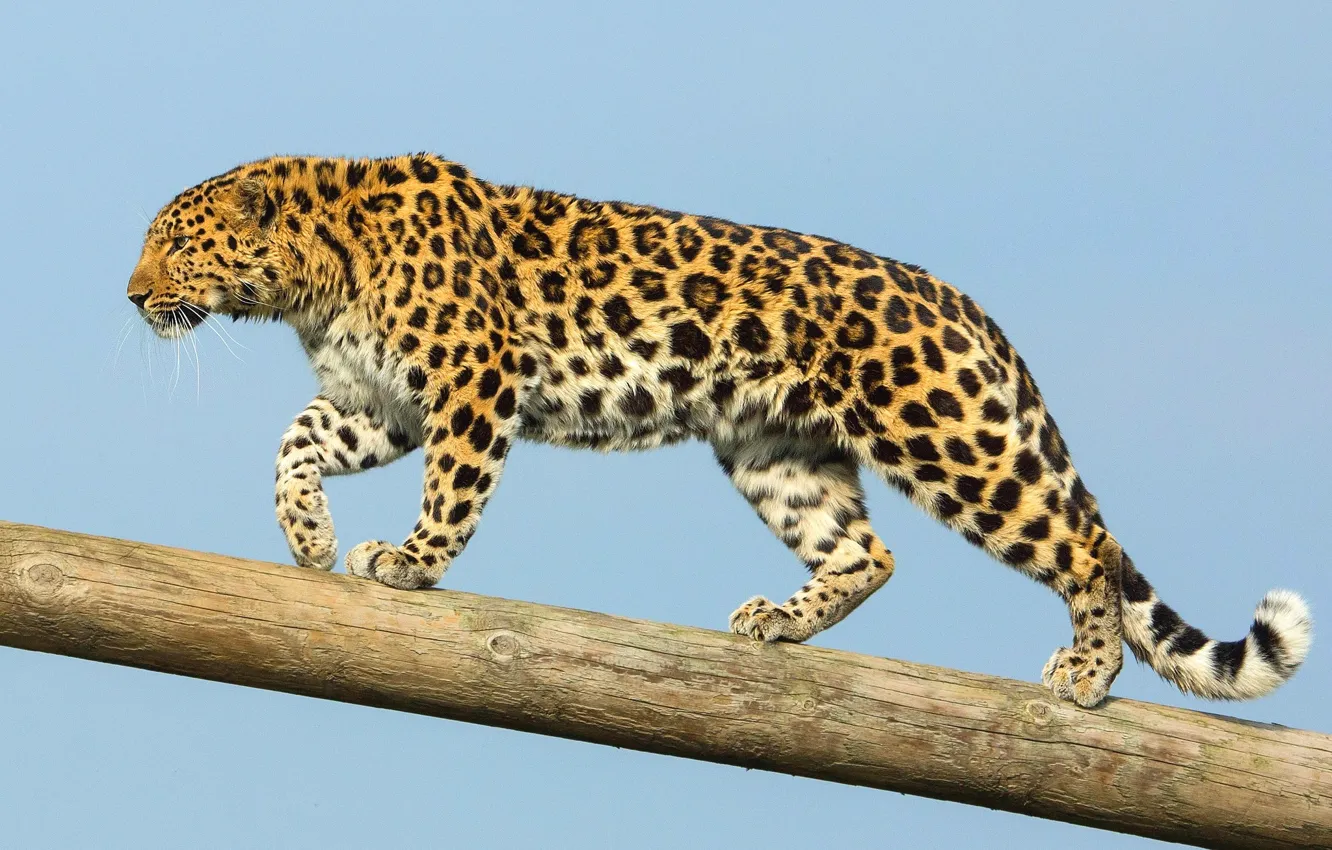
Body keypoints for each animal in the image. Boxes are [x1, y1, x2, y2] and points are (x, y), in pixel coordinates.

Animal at [127, 154, 1312, 707]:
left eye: (174, 246)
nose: (132, 296)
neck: (310, 277)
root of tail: (959, 300)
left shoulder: (470, 382)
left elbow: (451, 492)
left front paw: (409, 564)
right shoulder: (383, 401)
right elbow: (294, 440)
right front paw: (309, 536)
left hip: (945, 432)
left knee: (1082, 544)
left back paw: (1087, 674)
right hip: (774, 449)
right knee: (868, 550)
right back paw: (780, 621)